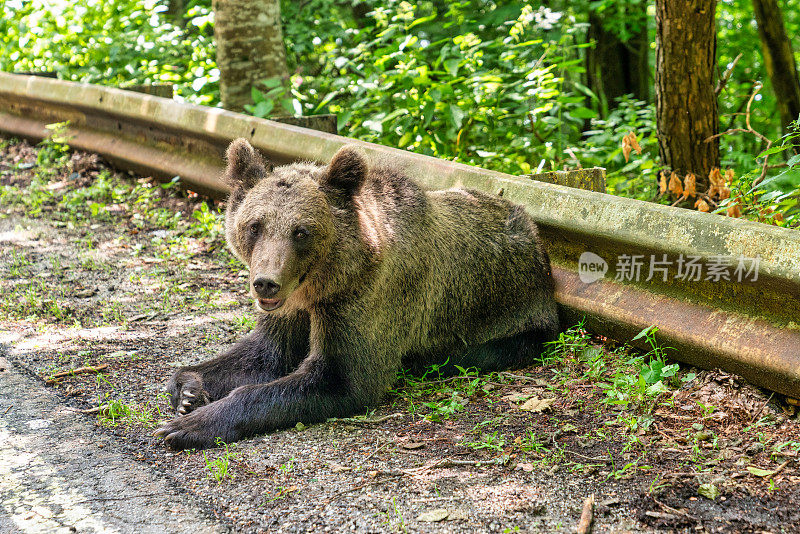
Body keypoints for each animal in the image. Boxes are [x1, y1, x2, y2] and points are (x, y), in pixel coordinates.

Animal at [155, 140, 556, 450]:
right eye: (255, 225)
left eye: (301, 231)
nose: (266, 283)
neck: (321, 284)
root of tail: (535, 233)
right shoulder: (292, 310)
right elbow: (262, 355)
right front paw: (188, 391)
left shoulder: (364, 300)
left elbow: (340, 377)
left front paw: (188, 426)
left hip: (510, 320)